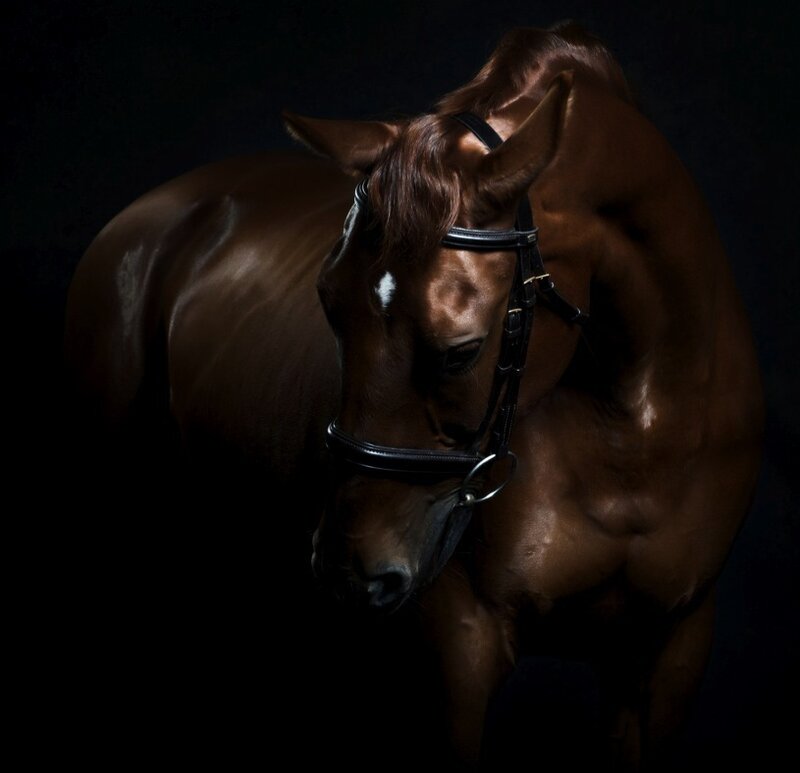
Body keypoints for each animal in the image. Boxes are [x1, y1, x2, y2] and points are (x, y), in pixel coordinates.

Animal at [65, 23, 763, 771]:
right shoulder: (457, 650)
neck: (631, 431)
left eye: (460, 351)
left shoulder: (668, 652)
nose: (349, 572)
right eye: (328, 307)